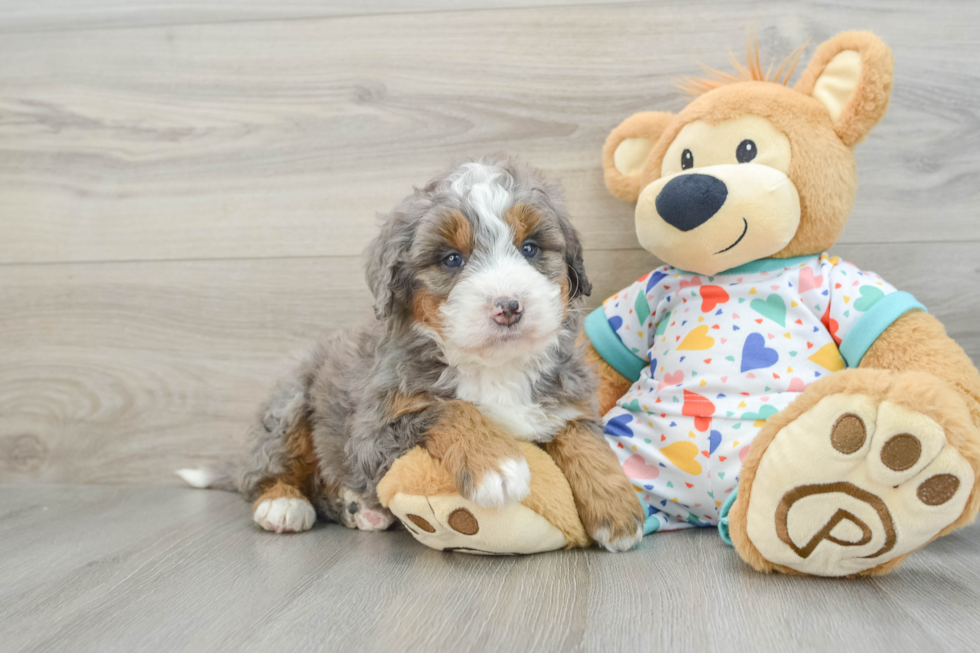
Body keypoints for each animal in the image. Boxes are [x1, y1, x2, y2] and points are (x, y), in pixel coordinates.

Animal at [180, 157, 648, 552]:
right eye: (452, 259)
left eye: (530, 248)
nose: (509, 307)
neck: (494, 367)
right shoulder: (372, 432)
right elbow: (450, 409)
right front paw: (499, 465)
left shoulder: (566, 397)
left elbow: (583, 436)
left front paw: (618, 509)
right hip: (290, 403)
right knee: (263, 472)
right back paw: (283, 504)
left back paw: (359, 510)